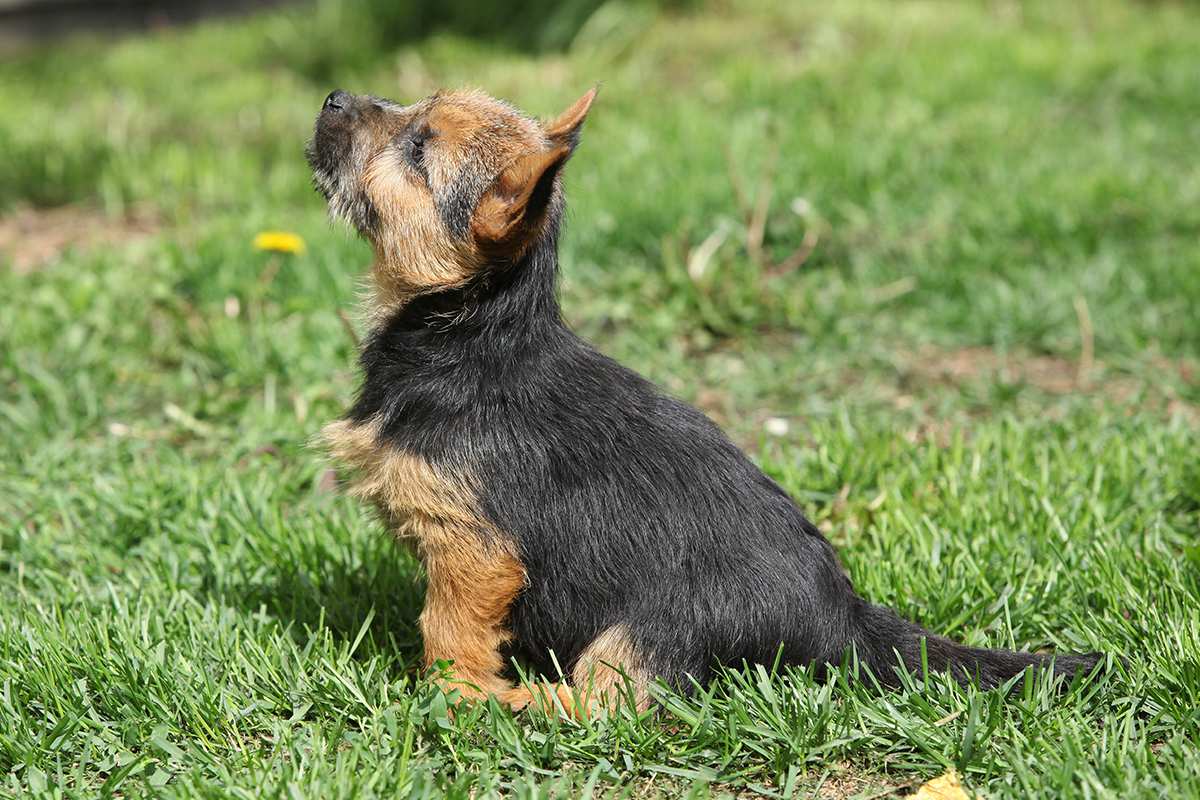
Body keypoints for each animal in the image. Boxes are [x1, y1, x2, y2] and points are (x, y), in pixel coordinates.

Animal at [309, 86, 1104, 714]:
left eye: (418, 149)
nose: (333, 97)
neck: (472, 330)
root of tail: (843, 620)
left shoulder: (475, 551)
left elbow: (450, 631)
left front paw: (453, 697)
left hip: (646, 629)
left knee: (610, 702)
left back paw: (521, 702)